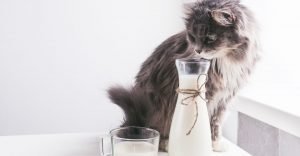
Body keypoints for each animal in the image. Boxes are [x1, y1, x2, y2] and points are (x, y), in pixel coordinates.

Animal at [107, 0, 258, 152]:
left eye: (210, 38)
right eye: (193, 36)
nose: (198, 50)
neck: (225, 60)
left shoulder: (224, 98)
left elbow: (215, 123)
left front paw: (215, 145)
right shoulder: (206, 95)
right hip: (157, 105)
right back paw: (166, 144)